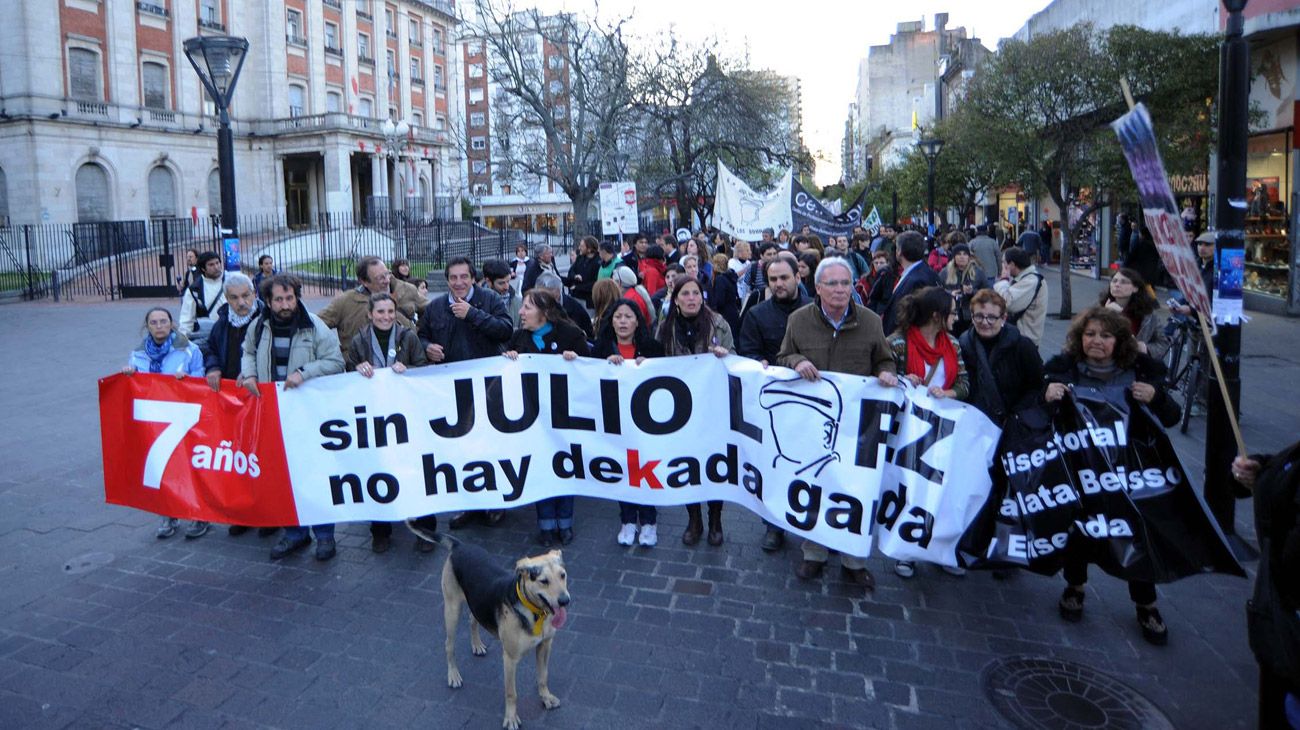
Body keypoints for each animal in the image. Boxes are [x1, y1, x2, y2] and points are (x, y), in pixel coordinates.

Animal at [405, 519, 569, 722]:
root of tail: (460, 546)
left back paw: (476, 645)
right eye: (543, 581)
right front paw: (511, 718)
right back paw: (453, 675)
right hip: (451, 609)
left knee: (472, 620)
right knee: (449, 645)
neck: (534, 612)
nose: (565, 601)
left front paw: (546, 698)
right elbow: (511, 693)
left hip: (475, 602)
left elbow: (543, 676)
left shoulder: (545, 645)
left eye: (563, 575)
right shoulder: (510, 658)